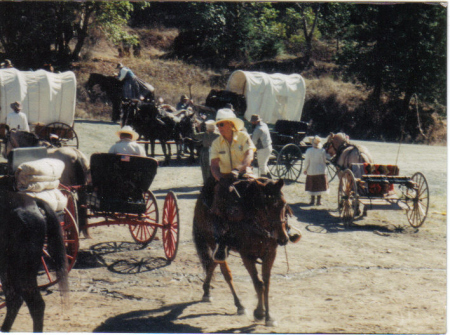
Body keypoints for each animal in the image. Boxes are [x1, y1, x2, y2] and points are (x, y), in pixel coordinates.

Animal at [193, 178, 292, 328]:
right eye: (267, 206)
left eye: (284, 204)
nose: (283, 238)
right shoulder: (247, 256)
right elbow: (258, 283)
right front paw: (259, 313)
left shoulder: (270, 255)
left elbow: (266, 283)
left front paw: (269, 316)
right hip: (213, 242)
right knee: (225, 271)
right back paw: (239, 305)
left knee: (212, 263)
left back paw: (207, 291)